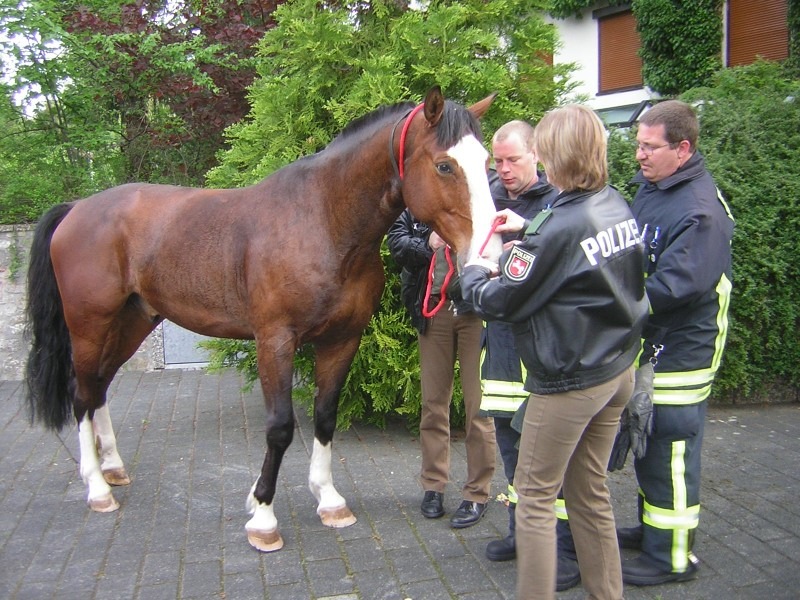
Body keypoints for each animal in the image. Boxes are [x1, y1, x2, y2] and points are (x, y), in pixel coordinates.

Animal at [25, 85, 500, 552]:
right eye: (444, 165)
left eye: (486, 162)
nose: (491, 255)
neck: (323, 221)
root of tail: (77, 207)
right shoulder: (275, 341)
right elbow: (280, 427)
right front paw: (264, 517)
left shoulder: (342, 339)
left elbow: (325, 416)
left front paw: (329, 500)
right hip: (90, 325)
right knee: (82, 393)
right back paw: (97, 488)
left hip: (133, 321)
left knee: (100, 387)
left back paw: (113, 468)